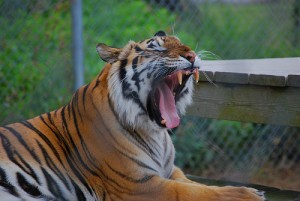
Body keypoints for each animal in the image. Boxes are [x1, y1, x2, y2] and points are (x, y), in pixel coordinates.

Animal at [1, 30, 266, 200]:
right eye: (157, 47)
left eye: (181, 42)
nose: (192, 55)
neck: (154, 131)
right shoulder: (139, 185)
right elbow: (194, 192)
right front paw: (248, 194)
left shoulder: (171, 171)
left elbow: (198, 184)